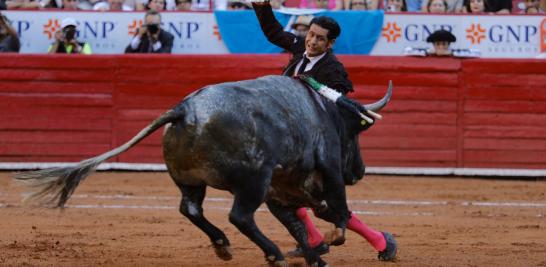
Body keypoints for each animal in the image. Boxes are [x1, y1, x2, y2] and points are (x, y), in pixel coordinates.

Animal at [14, 75, 392, 267]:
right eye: (355, 133)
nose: (360, 171)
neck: (323, 110)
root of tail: (183, 110)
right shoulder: (324, 168)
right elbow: (337, 207)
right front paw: (335, 238)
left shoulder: (282, 190)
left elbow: (298, 223)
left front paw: (316, 257)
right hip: (253, 180)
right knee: (240, 216)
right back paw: (272, 253)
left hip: (190, 180)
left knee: (191, 208)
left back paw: (224, 245)